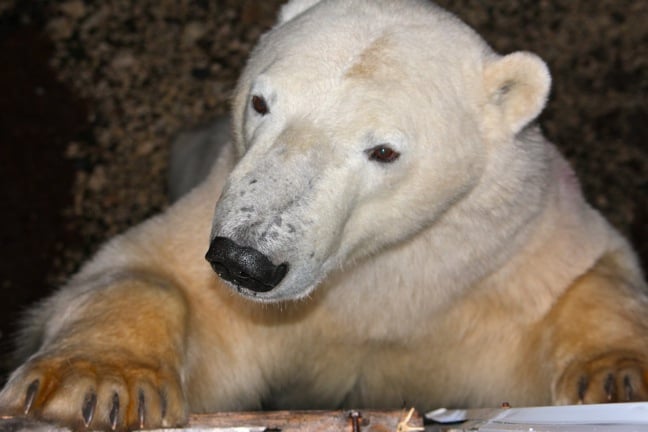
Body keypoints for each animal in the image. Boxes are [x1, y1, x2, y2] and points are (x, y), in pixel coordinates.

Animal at [1, 0, 648, 430]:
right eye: (261, 102)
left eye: (384, 151)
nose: (245, 260)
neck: (369, 278)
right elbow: (147, 273)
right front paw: (98, 381)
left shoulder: (508, 254)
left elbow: (592, 279)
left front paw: (620, 377)